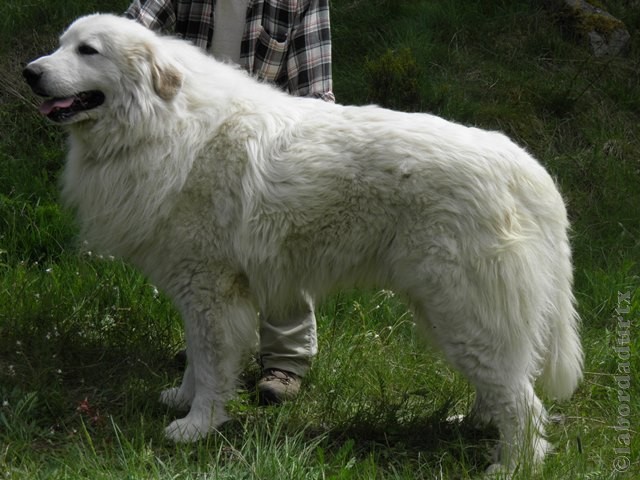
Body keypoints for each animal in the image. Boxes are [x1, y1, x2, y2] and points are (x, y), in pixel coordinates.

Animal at [25, 14, 584, 472]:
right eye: (61, 45)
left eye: (88, 51)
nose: (30, 72)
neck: (162, 122)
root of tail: (525, 167)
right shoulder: (196, 291)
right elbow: (195, 358)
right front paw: (182, 400)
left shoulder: (210, 288)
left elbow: (211, 362)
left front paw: (196, 426)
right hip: (451, 311)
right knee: (504, 386)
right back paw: (475, 425)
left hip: (465, 309)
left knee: (523, 402)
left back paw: (510, 465)